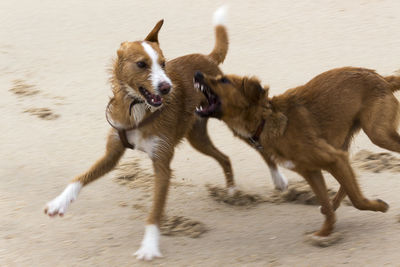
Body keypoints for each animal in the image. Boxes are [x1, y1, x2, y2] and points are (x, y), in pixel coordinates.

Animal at [43, 6, 288, 262]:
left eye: (163, 63)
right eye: (142, 64)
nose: (166, 87)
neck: (138, 108)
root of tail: (207, 58)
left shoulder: (162, 166)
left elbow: (155, 212)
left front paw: (149, 246)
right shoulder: (112, 155)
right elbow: (80, 177)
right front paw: (59, 203)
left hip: (235, 123)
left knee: (261, 148)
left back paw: (278, 179)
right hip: (197, 138)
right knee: (225, 158)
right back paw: (231, 191)